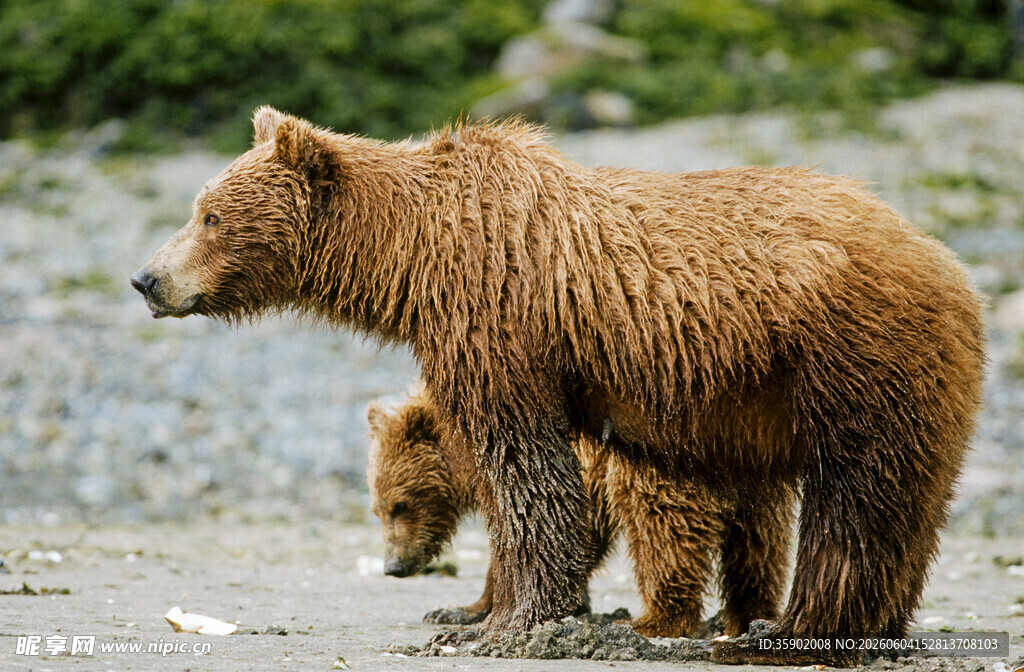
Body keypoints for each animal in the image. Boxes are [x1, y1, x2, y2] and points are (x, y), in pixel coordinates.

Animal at [365, 387, 794, 638]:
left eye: (401, 505)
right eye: (378, 509)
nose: (393, 567)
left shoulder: (585, 464)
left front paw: (465, 609)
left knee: (663, 527)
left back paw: (652, 620)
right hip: (753, 476)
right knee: (759, 545)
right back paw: (748, 616)